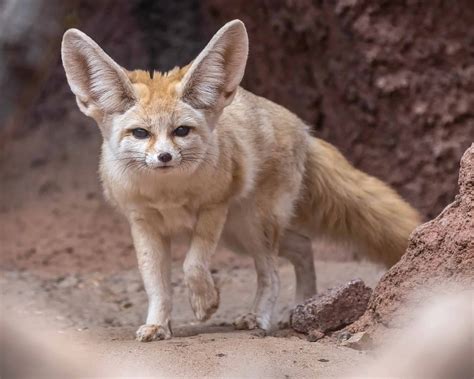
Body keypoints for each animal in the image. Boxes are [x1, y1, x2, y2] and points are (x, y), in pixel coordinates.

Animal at [61, 20, 420, 342]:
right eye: (140, 133)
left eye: (181, 131)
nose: (164, 157)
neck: (168, 193)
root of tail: (303, 129)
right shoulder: (143, 223)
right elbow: (156, 284)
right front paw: (157, 325)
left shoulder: (213, 209)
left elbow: (193, 265)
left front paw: (205, 302)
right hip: (239, 235)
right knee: (303, 246)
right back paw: (305, 304)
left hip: (251, 226)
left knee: (272, 274)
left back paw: (259, 318)